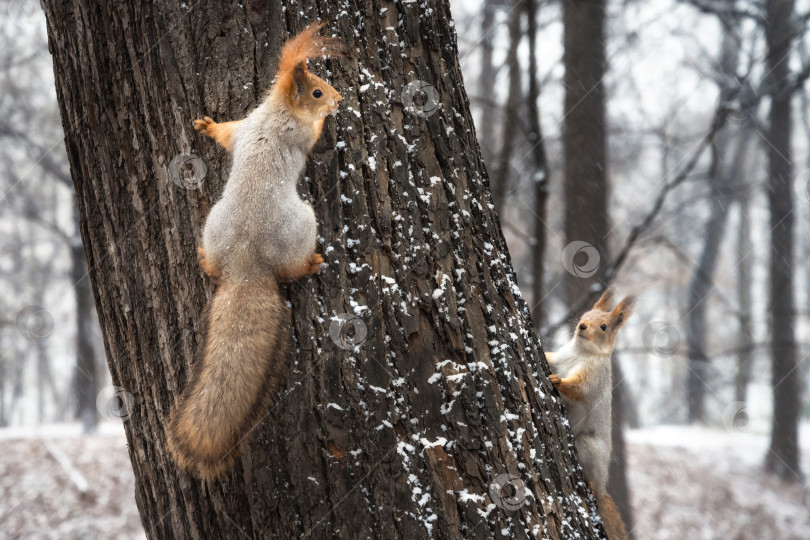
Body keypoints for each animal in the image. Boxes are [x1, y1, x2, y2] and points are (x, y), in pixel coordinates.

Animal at [167, 22, 344, 476]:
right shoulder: (297, 133)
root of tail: (246, 265)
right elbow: (312, 136)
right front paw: (326, 121)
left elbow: (227, 134)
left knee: (212, 262)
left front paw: (207, 125)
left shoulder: (244, 126)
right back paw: (311, 264)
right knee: (293, 269)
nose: (339, 100)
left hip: (212, 225)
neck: (278, 110)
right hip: (303, 224)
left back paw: (204, 260)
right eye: (316, 91)